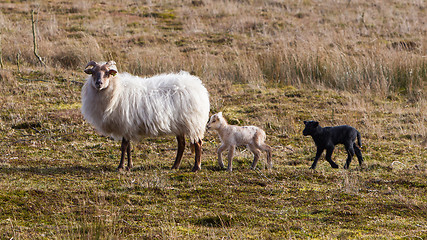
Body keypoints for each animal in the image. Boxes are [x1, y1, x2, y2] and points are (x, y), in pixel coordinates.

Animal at [81, 61, 211, 172]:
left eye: (107, 73)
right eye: (93, 72)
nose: (99, 83)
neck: (117, 90)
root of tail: (199, 86)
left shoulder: (126, 124)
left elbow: (124, 146)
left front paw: (121, 166)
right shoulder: (127, 127)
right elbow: (128, 146)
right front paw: (129, 166)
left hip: (193, 123)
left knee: (198, 143)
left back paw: (196, 167)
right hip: (180, 124)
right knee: (182, 144)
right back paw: (175, 166)